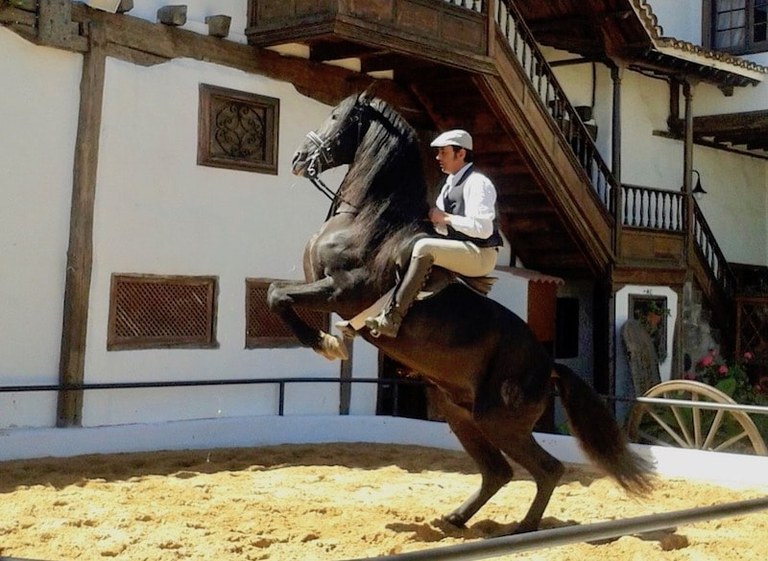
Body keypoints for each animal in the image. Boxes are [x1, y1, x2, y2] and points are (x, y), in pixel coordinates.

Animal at [267, 91, 653, 534]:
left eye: (336, 117)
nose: (299, 158)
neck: (365, 223)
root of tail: (548, 364)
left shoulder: (338, 292)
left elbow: (278, 297)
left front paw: (325, 343)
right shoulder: (321, 288)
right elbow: (275, 292)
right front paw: (332, 340)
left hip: (498, 420)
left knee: (547, 469)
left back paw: (523, 528)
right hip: (461, 415)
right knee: (498, 472)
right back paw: (456, 518)